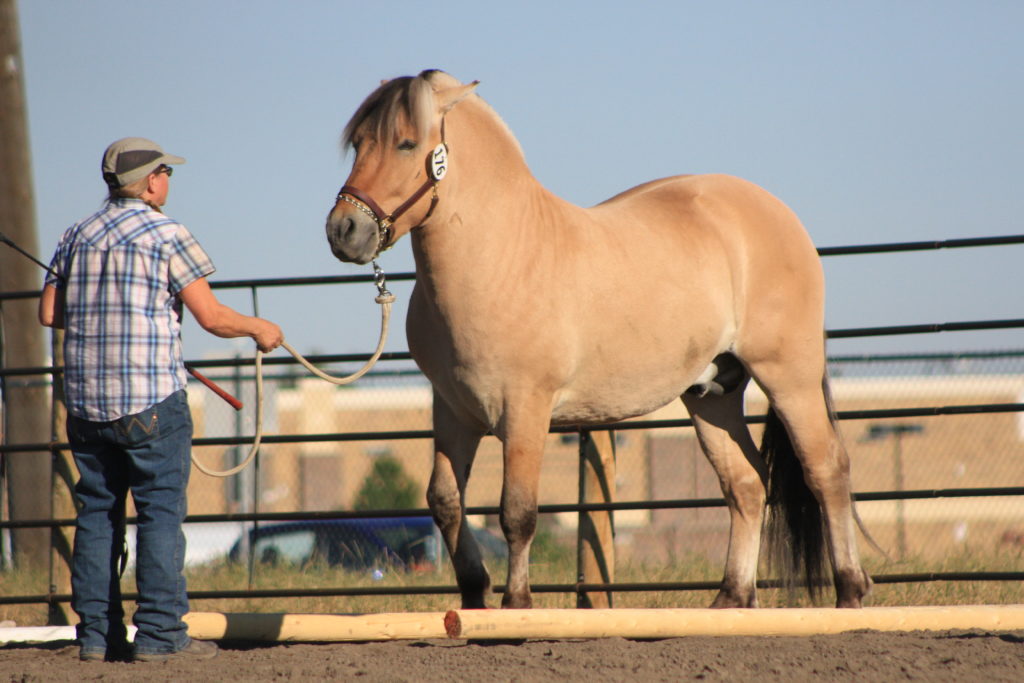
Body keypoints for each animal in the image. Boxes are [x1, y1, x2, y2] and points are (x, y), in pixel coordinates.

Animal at [325, 69, 872, 609]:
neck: (502, 254)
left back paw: (850, 590)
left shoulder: (525, 410)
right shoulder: (453, 410)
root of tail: (777, 214)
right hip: (712, 393)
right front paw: (475, 596)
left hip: (789, 377)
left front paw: (516, 605)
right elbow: (446, 503)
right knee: (745, 484)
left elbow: (517, 512)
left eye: (406, 143)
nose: (342, 230)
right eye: (358, 143)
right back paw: (731, 599)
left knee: (827, 470)